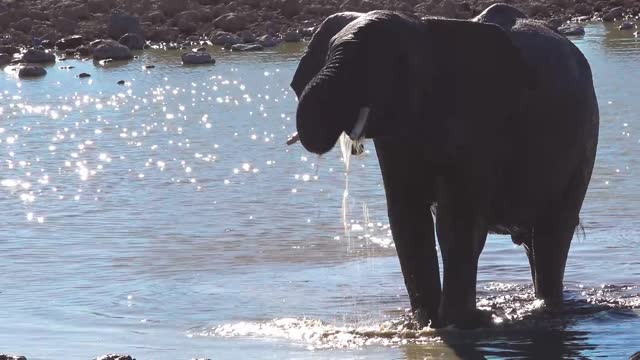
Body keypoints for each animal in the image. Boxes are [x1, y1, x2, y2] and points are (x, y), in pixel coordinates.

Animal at [290, 7, 600, 330]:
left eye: (376, 67)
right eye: (327, 55)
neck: (423, 32)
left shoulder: (480, 117)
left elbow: (457, 222)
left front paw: (460, 324)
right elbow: (407, 219)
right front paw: (427, 324)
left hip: (584, 140)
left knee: (553, 233)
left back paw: (548, 309)